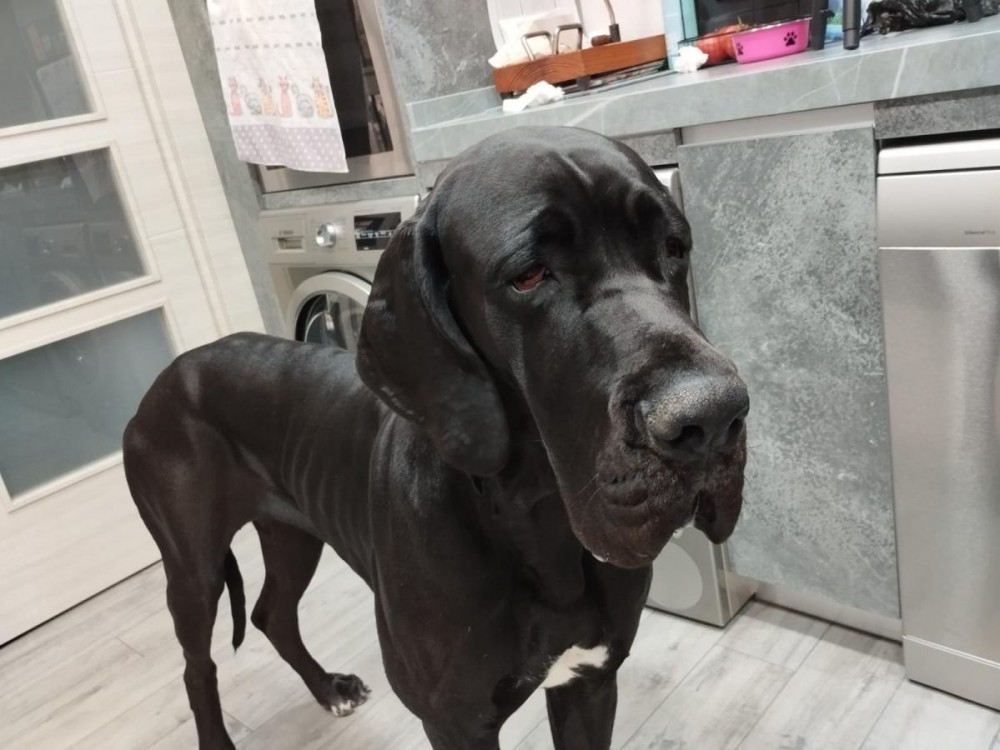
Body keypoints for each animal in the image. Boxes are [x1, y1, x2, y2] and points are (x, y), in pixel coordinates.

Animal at [123, 126, 749, 749]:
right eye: (528, 274)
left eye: (675, 247)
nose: (712, 417)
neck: (536, 517)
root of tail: (164, 379)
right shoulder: (456, 722)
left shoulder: (590, 683)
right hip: (193, 570)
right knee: (197, 664)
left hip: (291, 534)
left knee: (271, 614)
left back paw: (328, 689)